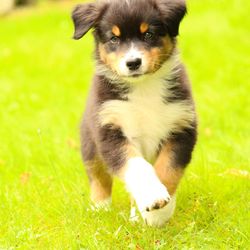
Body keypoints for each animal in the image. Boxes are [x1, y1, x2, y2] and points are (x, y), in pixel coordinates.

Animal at [71, 0, 196, 227]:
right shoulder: (110, 130)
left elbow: (168, 169)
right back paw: (100, 208)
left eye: (149, 34)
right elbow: (136, 166)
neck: (144, 87)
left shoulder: (181, 126)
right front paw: (153, 197)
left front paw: (156, 215)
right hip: (90, 144)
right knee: (98, 176)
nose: (133, 63)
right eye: (114, 38)